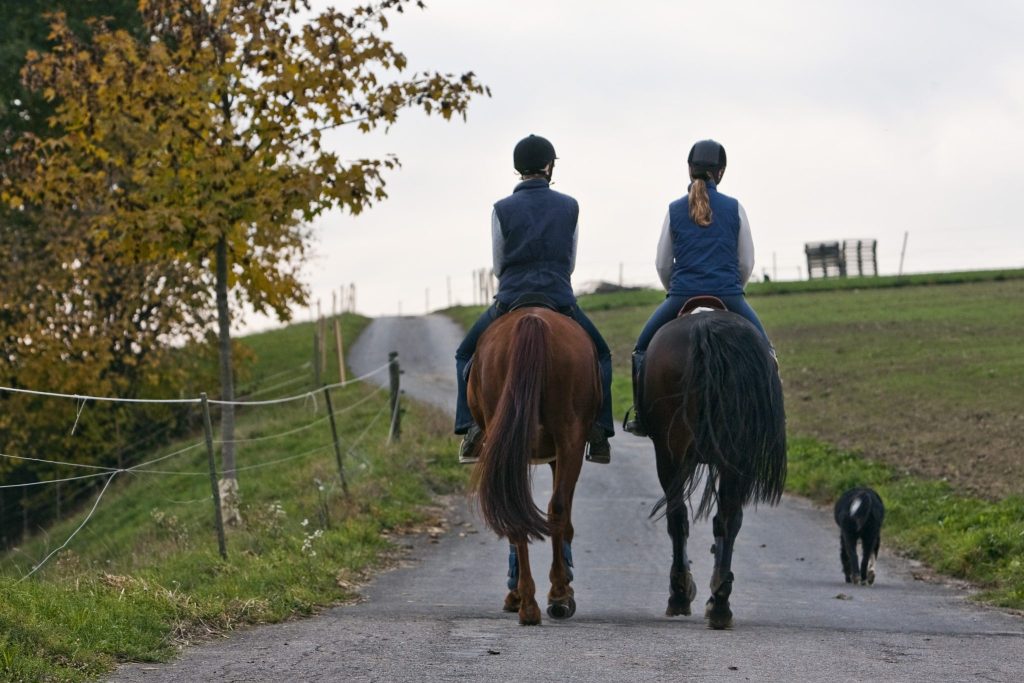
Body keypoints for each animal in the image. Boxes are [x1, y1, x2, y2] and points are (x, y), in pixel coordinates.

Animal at [467, 306, 601, 626]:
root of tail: (532, 319)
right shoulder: (557, 453)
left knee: (535, 512)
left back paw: (531, 602)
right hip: (568, 439)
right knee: (555, 508)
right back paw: (550, 598)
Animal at [642, 297, 786, 629]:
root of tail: (705, 326)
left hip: (670, 453)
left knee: (679, 517)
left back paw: (681, 595)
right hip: (734, 453)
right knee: (727, 518)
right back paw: (719, 602)